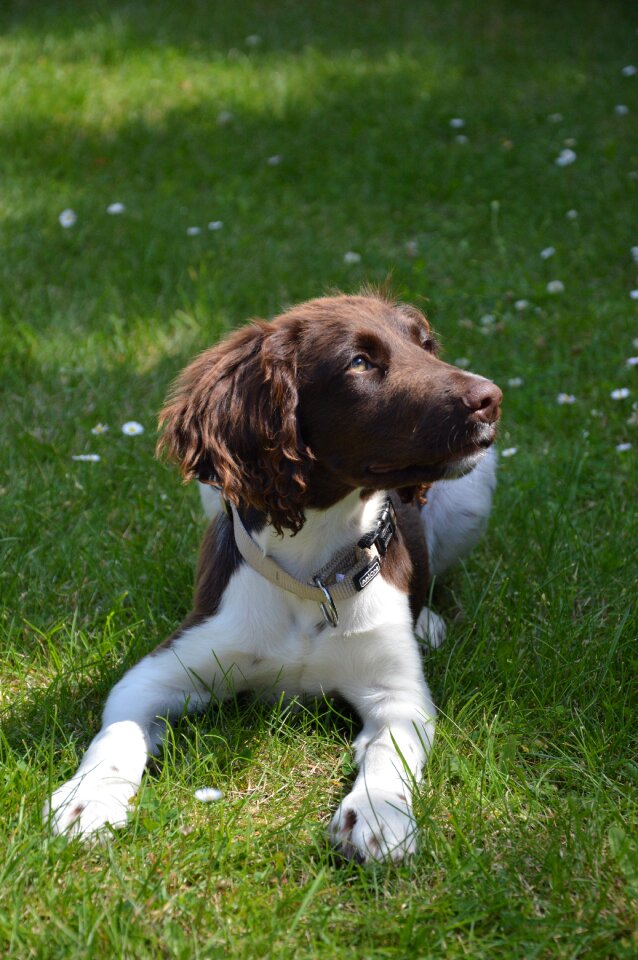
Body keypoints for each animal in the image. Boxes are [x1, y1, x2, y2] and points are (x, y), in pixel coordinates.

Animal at [46, 294, 504, 864]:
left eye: (426, 345)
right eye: (359, 362)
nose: (491, 398)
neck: (315, 575)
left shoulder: (398, 696)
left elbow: (390, 754)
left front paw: (379, 814)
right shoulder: (163, 668)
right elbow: (117, 734)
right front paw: (88, 798)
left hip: (472, 489)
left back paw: (429, 623)